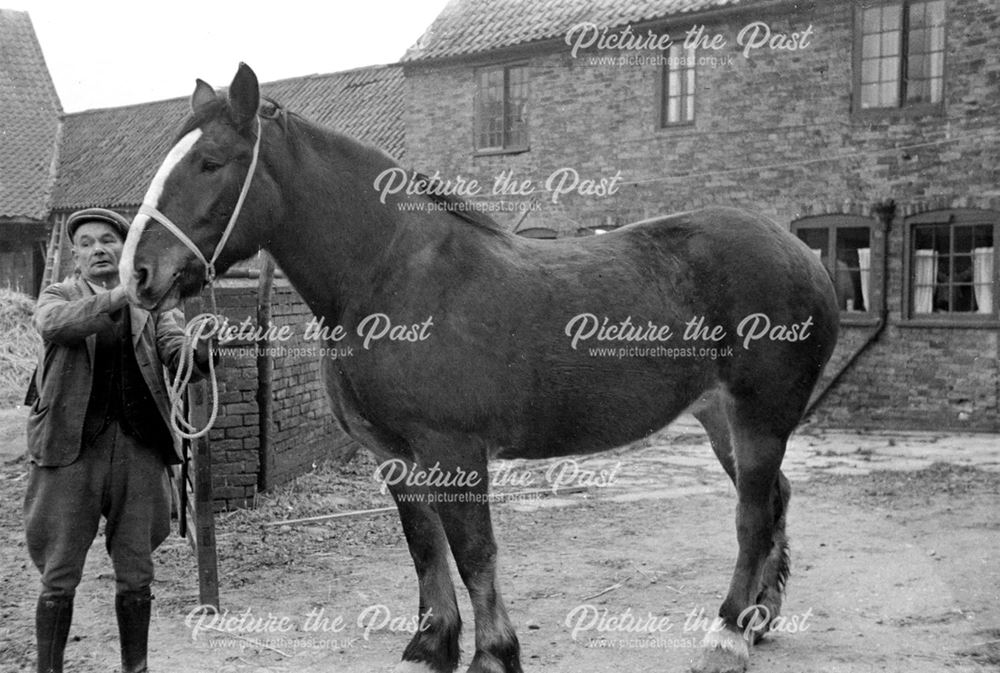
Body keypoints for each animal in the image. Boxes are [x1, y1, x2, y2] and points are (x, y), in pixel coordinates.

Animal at [119, 64, 836, 672]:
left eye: (212, 162)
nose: (139, 274)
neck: (391, 276)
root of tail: (803, 252)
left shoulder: (453, 447)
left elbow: (474, 551)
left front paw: (493, 653)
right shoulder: (393, 453)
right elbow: (423, 544)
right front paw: (432, 643)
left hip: (761, 415)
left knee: (751, 514)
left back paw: (726, 635)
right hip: (719, 417)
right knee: (774, 499)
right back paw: (759, 619)